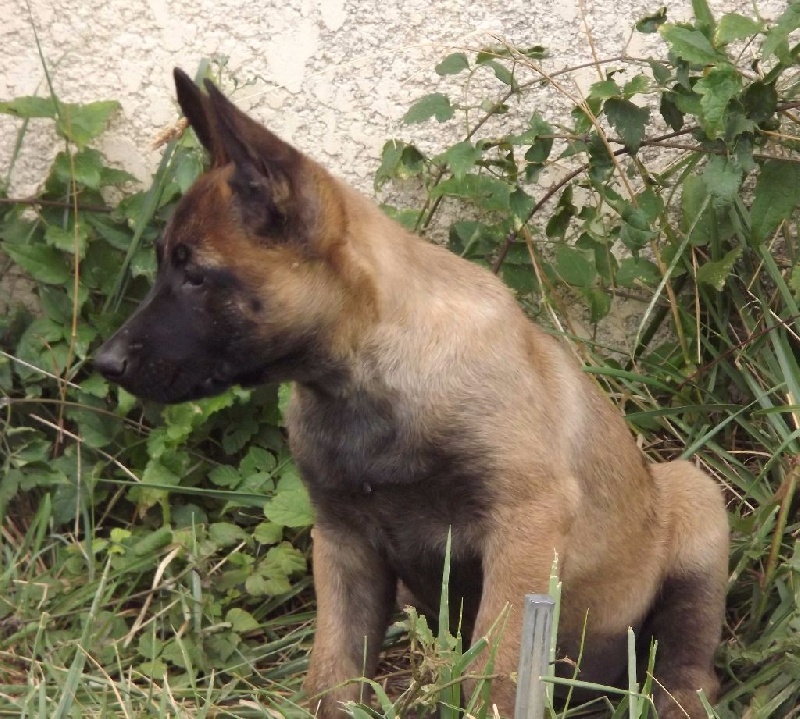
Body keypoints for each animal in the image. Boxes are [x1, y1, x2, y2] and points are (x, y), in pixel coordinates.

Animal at [95, 68, 729, 719]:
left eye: (195, 276)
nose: (104, 363)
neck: (366, 383)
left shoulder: (524, 526)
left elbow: (493, 672)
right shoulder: (343, 543)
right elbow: (333, 671)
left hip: (696, 502)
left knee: (689, 657)